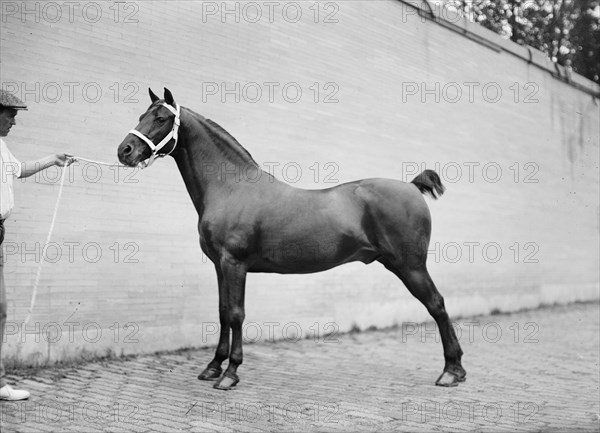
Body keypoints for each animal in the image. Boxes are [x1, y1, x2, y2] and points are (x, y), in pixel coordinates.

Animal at [116, 88, 464, 388]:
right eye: (142, 115)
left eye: (162, 118)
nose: (125, 151)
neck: (231, 187)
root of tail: (412, 187)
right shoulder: (219, 265)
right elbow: (222, 312)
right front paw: (213, 367)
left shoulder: (235, 264)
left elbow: (236, 313)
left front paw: (230, 373)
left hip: (410, 266)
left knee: (437, 305)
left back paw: (451, 371)